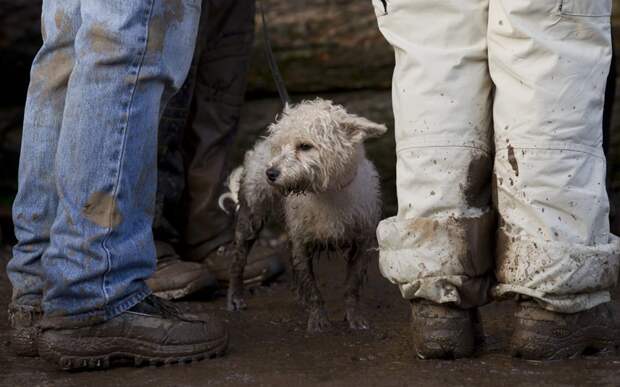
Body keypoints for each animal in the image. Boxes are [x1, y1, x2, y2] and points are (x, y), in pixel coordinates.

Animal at [223, 98, 388, 334]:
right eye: (280, 147)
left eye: (305, 146)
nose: (270, 173)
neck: (327, 192)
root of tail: (261, 144)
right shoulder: (301, 243)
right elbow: (312, 288)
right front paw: (318, 319)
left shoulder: (362, 243)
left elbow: (352, 286)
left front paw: (354, 318)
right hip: (251, 216)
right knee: (238, 259)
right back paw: (235, 296)